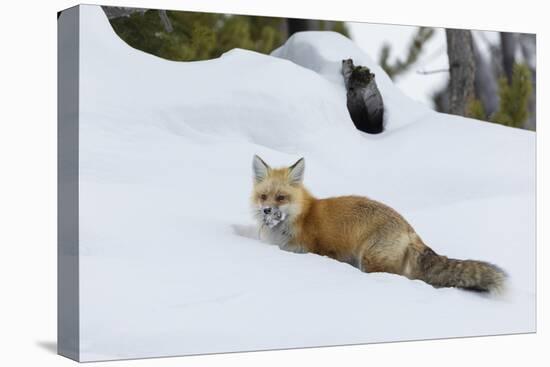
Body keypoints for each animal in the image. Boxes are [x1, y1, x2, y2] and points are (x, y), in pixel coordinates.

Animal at [252, 155, 506, 294]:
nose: (266, 211)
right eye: (264, 196)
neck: (300, 217)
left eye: (281, 198)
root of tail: (409, 229)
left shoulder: (314, 250)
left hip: (371, 261)